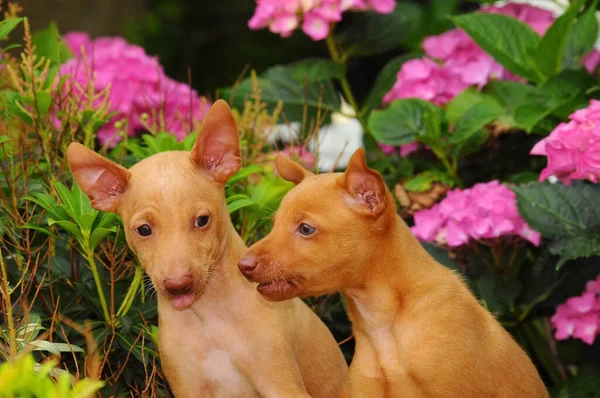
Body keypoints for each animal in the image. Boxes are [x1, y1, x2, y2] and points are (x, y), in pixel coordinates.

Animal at [67, 100, 346, 398]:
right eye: (143, 230)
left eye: (202, 220)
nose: (178, 286)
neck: (208, 316)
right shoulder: (187, 388)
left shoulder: (280, 384)